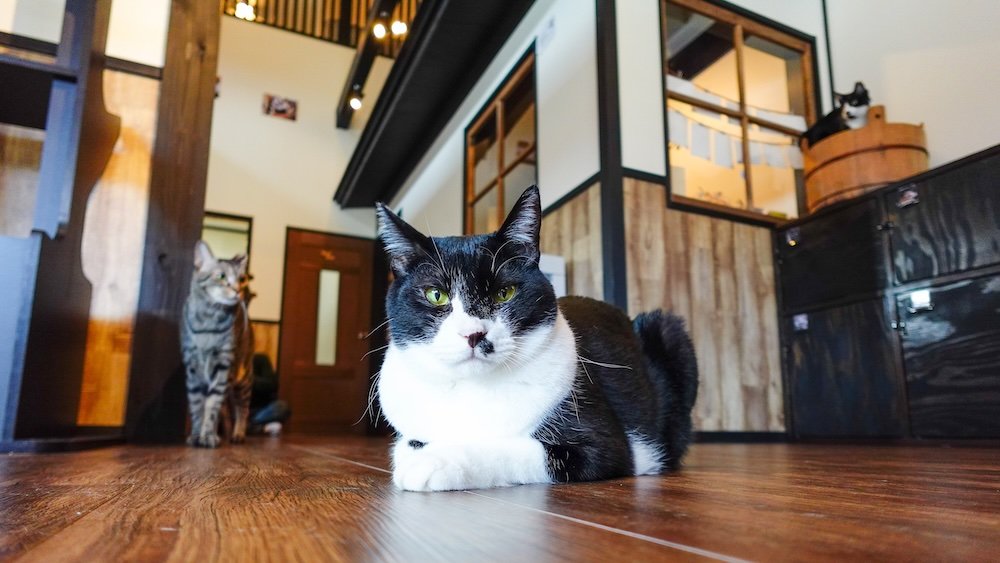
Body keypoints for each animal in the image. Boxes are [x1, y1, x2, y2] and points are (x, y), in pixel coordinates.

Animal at [182, 242, 256, 450]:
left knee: (242, 408)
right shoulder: (192, 367)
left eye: (241, 279)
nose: (238, 290)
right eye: (221, 276)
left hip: (243, 378)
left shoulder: (223, 366)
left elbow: (212, 406)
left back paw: (237, 434)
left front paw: (208, 436)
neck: (209, 320)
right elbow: (197, 405)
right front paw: (196, 435)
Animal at [374, 187, 696, 492]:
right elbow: (405, 445)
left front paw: (435, 462)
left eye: (504, 293)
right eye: (435, 295)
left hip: (668, 330)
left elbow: (512, 449)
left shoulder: (604, 446)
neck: (473, 389)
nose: (474, 334)